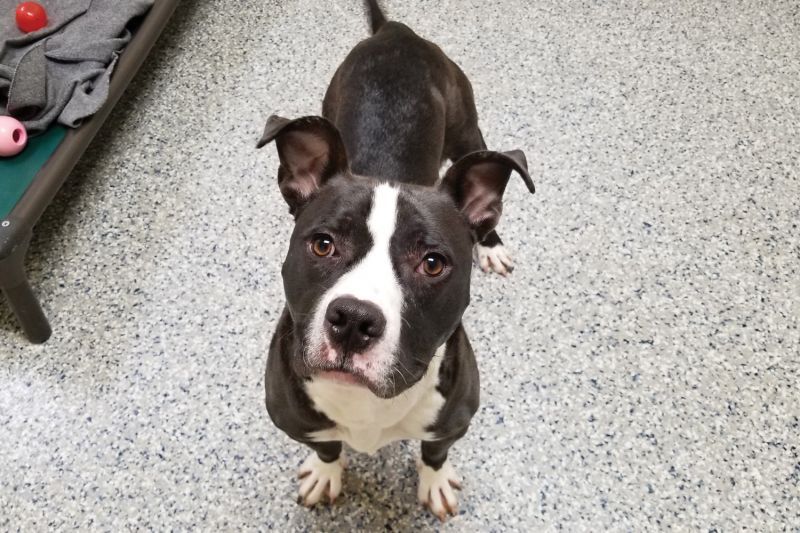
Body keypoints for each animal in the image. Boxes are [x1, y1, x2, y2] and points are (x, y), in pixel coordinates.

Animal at [256, 0, 536, 520]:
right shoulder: (296, 419)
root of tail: (395, 32)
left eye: (433, 263)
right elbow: (327, 445)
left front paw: (436, 481)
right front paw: (326, 472)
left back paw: (490, 243)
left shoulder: (453, 421)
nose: (352, 320)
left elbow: (434, 450)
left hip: (469, 134)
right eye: (322, 244)